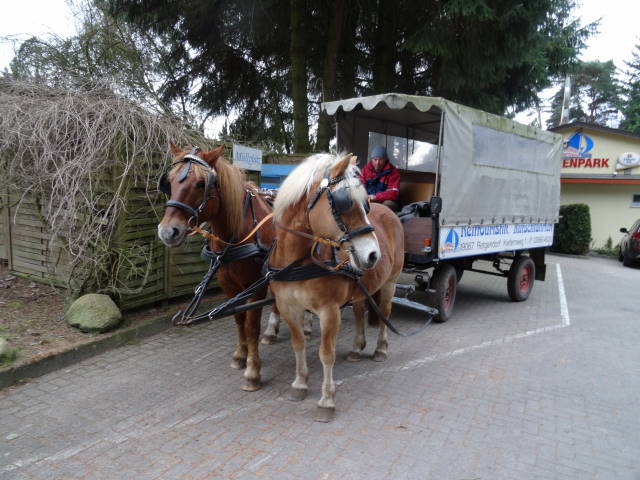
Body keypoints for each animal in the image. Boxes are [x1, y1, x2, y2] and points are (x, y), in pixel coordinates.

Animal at [156, 144, 278, 392]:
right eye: (169, 182)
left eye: (201, 184)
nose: (167, 232)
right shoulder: (228, 285)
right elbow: (238, 320)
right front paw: (240, 356)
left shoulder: (256, 287)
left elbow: (251, 326)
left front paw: (252, 371)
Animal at [270, 153, 404, 420]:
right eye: (345, 203)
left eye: (365, 205)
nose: (373, 255)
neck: (296, 261)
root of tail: (390, 212)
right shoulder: (288, 308)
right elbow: (298, 344)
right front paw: (299, 384)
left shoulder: (329, 311)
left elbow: (326, 353)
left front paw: (326, 400)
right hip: (361, 286)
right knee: (360, 311)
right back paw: (356, 349)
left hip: (390, 283)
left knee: (385, 312)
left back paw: (380, 350)